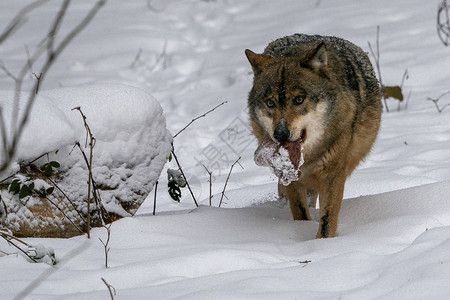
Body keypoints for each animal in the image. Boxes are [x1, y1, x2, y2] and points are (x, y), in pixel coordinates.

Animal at [244, 33, 382, 239]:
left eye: (299, 99)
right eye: (270, 103)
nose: (281, 134)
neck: (307, 155)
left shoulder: (333, 175)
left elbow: (327, 219)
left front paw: (322, 243)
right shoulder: (292, 177)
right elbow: (300, 211)